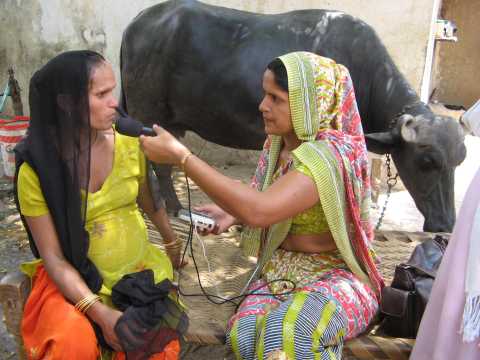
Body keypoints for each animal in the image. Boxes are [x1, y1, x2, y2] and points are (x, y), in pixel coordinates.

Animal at [120, 0, 464, 232]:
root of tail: (138, 22)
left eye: (458, 161)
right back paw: (171, 209)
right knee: (157, 166)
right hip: (146, 113)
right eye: (427, 162)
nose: (446, 224)